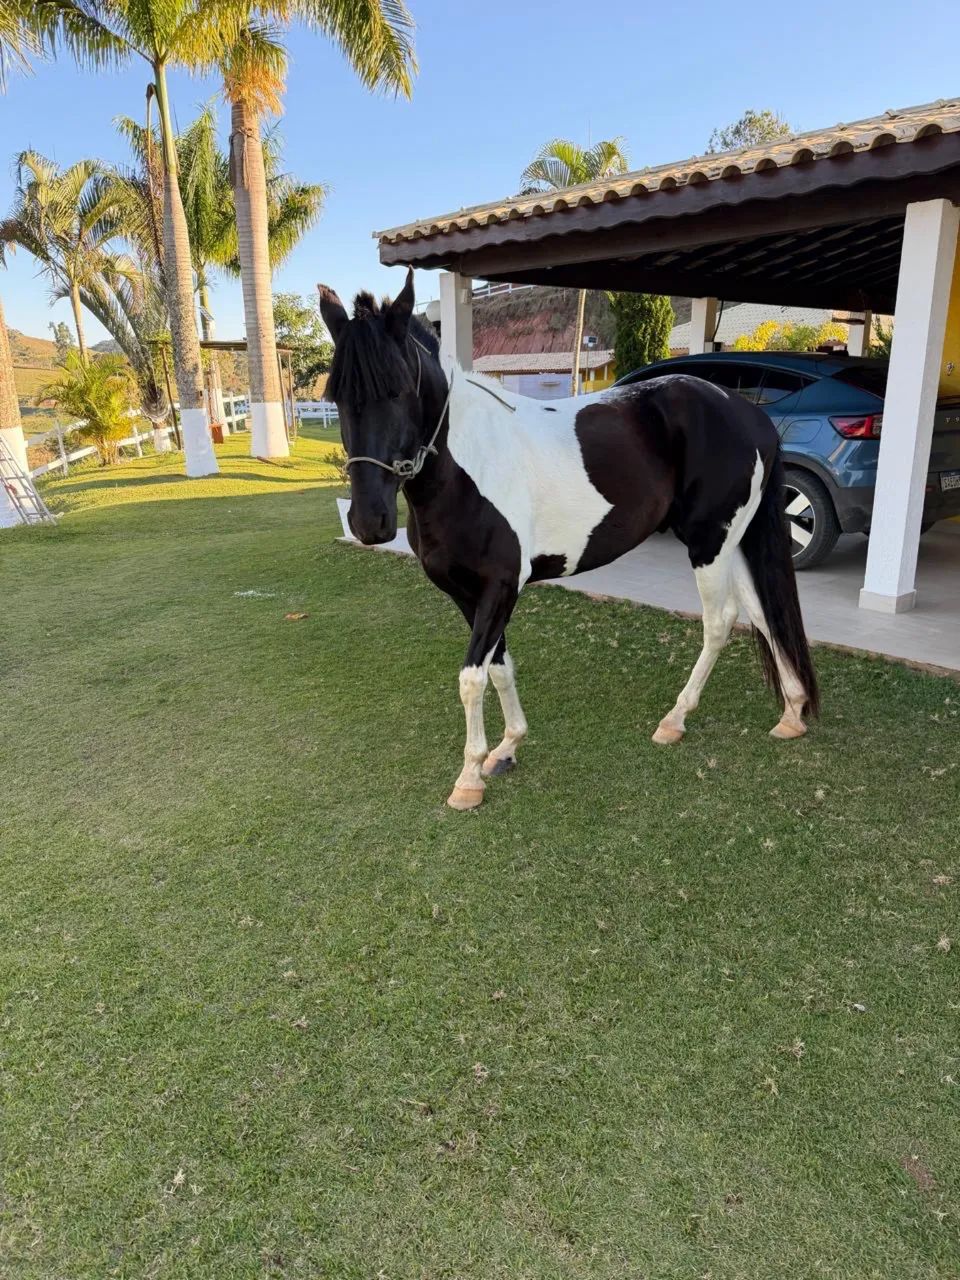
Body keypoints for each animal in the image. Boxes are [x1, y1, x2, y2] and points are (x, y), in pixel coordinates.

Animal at [318, 271, 819, 811]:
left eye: (397, 390)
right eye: (336, 397)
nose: (369, 522)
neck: (466, 469)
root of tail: (750, 414)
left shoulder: (500, 587)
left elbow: (472, 678)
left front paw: (469, 778)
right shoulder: (466, 593)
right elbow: (499, 666)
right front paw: (507, 748)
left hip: (709, 541)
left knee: (722, 619)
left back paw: (675, 719)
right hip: (732, 540)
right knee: (762, 612)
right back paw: (791, 713)